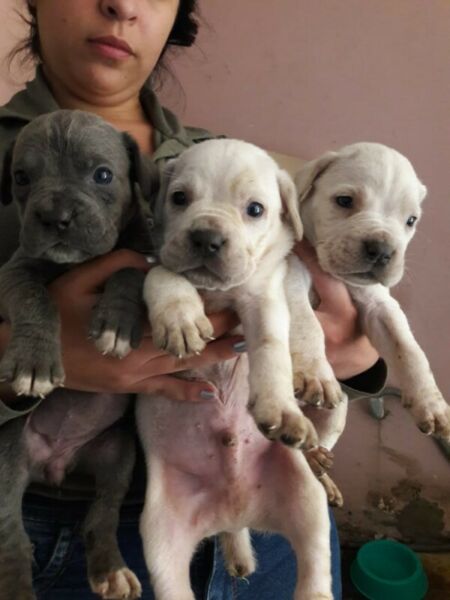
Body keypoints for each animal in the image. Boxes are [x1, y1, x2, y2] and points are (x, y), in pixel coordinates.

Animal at [0, 110, 156, 600]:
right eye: (21, 177)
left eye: (103, 175)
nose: (55, 217)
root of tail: (55, 463)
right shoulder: (15, 269)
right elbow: (35, 300)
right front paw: (34, 363)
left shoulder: (143, 255)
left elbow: (127, 272)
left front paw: (116, 324)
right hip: (8, 455)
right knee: (12, 535)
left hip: (118, 453)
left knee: (101, 515)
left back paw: (111, 569)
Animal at [135, 138, 332, 600]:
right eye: (179, 198)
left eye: (255, 209)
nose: (207, 237)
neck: (215, 292)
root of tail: (232, 514)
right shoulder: (154, 260)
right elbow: (166, 276)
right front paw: (181, 318)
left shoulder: (264, 299)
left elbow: (272, 350)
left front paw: (281, 409)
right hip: (158, 535)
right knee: (171, 584)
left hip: (309, 503)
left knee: (315, 565)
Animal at [288, 142, 450, 502]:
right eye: (345, 201)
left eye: (411, 220)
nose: (382, 250)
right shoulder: (284, 281)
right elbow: (306, 324)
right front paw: (316, 374)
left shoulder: (380, 306)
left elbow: (410, 350)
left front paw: (431, 403)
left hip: (337, 415)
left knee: (304, 448)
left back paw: (320, 470)